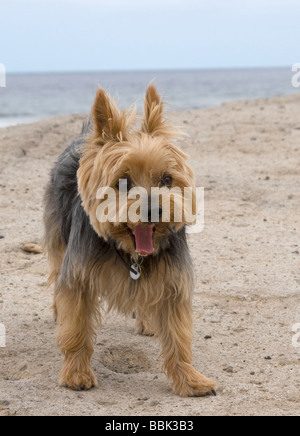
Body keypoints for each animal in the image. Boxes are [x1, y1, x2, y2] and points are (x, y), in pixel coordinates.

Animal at [43, 84, 216, 396]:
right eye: (123, 182)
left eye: (167, 179)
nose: (154, 210)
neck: (130, 252)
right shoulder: (78, 277)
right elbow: (75, 328)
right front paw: (76, 373)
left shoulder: (173, 283)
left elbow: (178, 337)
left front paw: (190, 379)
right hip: (58, 236)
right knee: (56, 271)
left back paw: (148, 322)